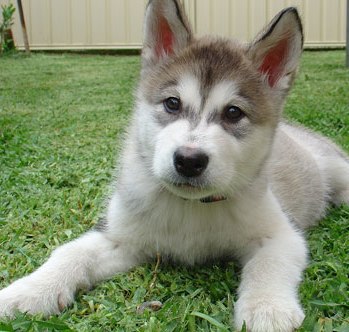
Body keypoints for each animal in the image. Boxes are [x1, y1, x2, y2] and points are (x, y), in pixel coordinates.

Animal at [0, 0, 348, 332]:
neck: (190, 208)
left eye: (233, 112)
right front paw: (29, 291)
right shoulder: (120, 237)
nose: (189, 160)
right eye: (172, 103)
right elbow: (71, 252)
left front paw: (268, 310)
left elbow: (269, 264)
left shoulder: (280, 235)